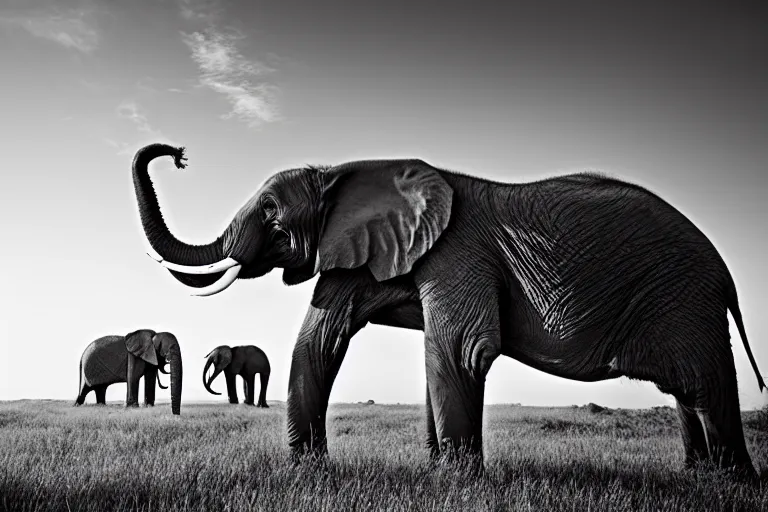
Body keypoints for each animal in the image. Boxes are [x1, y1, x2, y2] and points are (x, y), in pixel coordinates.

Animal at [130, 143, 760, 476]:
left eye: (269, 211)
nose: (177, 154)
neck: (347, 167)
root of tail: (726, 274)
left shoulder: (458, 253)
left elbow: (459, 350)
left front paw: (456, 483)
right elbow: (325, 337)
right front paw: (313, 472)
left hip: (685, 298)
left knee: (704, 385)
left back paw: (733, 485)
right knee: (683, 394)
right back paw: (698, 477)